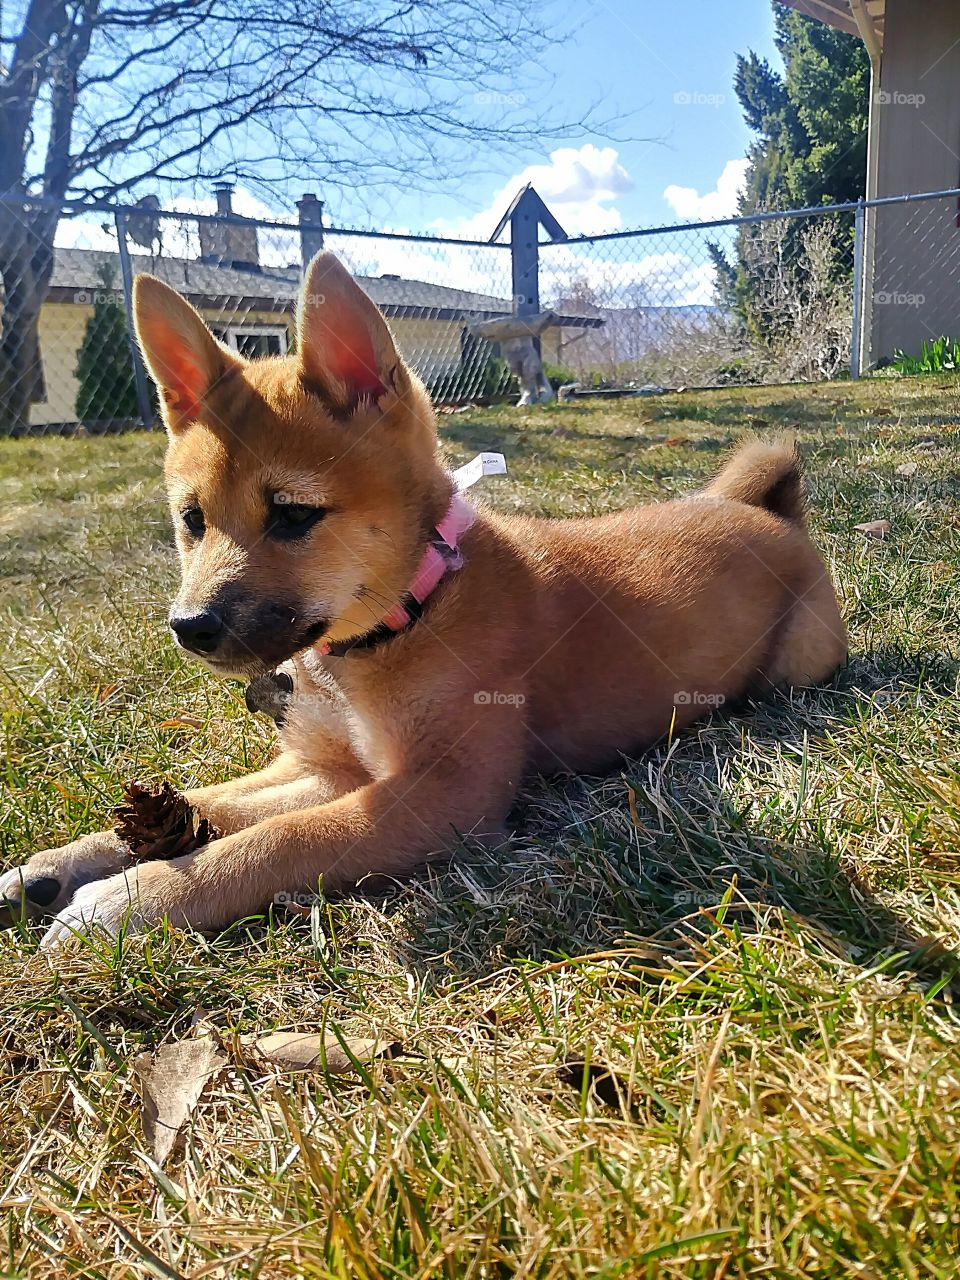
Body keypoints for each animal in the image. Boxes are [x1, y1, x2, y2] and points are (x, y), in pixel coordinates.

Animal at [0, 252, 844, 952]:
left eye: (293, 515)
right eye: (192, 520)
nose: (189, 628)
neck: (407, 616)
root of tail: (770, 514)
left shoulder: (441, 794)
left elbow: (281, 840)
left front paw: (130, 901)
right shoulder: (330, 767)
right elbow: (222, 802)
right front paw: (61, 865)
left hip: (797, 665)